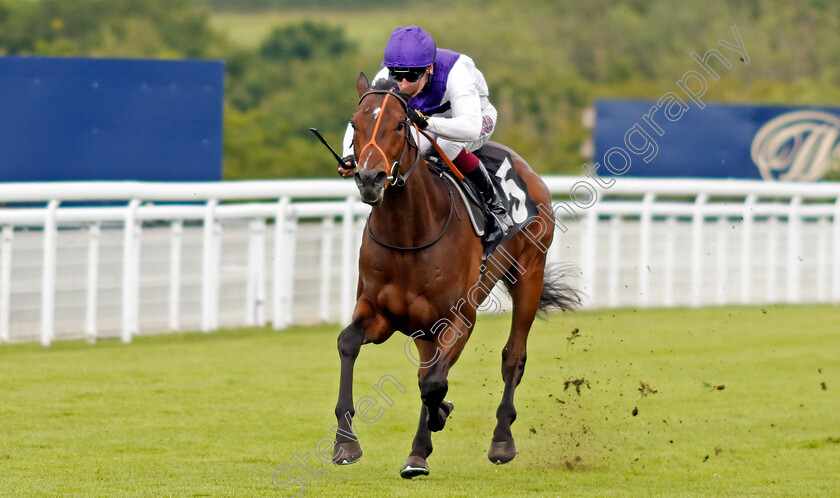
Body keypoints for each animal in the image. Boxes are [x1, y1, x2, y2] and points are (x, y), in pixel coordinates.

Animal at [332, 74, 580, 478]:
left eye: (399, 125)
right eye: (355, 124)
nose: (370, 178)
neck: (410, 234)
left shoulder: (459, 318)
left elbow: (434, 383)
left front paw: (434, 425)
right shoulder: (378, 313)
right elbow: (349, 343)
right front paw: (345, 443)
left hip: (529, 274)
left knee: (513, 356)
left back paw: (500, 440)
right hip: (422, 327)